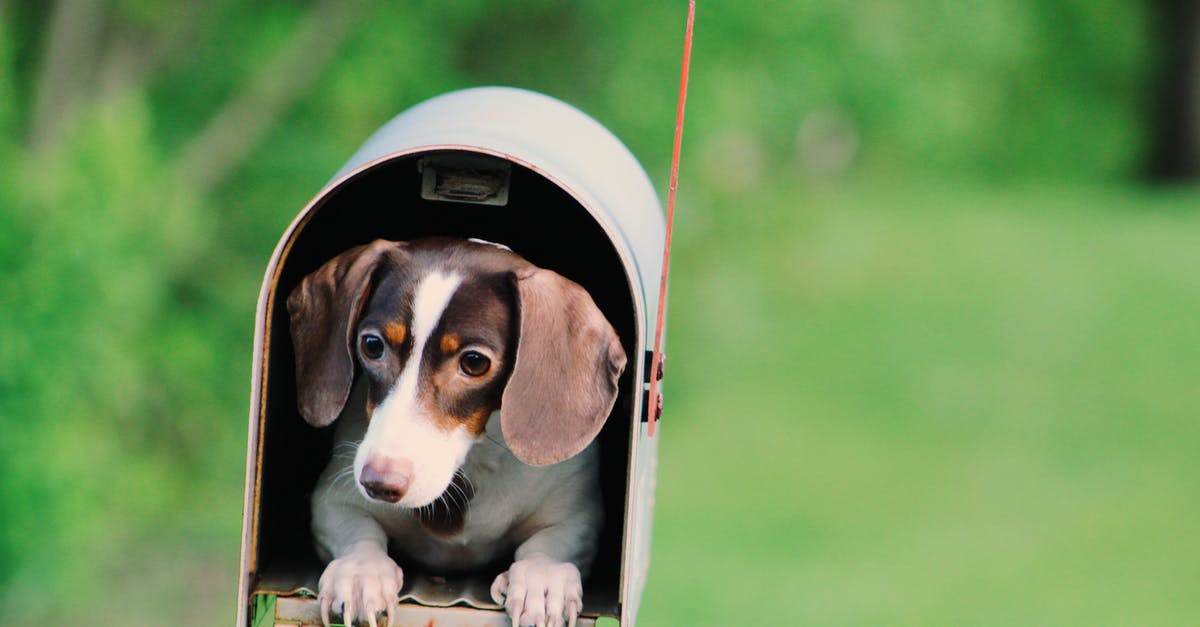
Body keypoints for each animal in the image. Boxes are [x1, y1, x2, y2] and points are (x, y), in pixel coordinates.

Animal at [286, 235, 628, 624]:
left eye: (474, 362)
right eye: (372, 345)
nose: (379, 484)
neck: (473, 461)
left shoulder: (577, 515)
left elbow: (549, 545)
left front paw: (543, 579)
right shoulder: (332, 499)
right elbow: (357, 531)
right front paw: (361, 571)